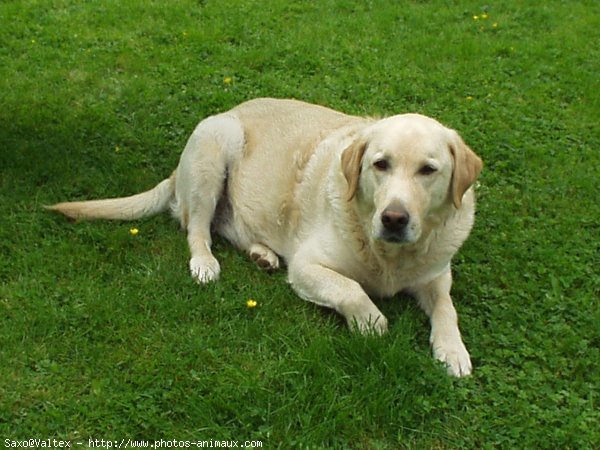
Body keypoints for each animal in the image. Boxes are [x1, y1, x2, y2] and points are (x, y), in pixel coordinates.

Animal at [48, 98, 482, 376]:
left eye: (428, 170)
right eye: (381, 164)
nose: (394, 219)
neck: (390, 258)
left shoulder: (436, 275)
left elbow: (447, 308)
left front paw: (452, 350)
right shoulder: (307, 266)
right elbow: (351, 290)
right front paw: (372, 322)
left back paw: (263, 254)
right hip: (214, 147)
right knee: (197, 228)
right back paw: (204, 263)